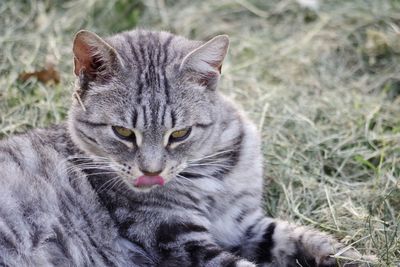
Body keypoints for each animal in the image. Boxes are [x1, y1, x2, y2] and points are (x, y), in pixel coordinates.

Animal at [0, 28, 364, 266]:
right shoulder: (175, 238)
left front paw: (356, 254)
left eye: (180, 134)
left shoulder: (242, 224)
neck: (213, 174)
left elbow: (300, 238)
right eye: (122, 132)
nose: (151, 171)